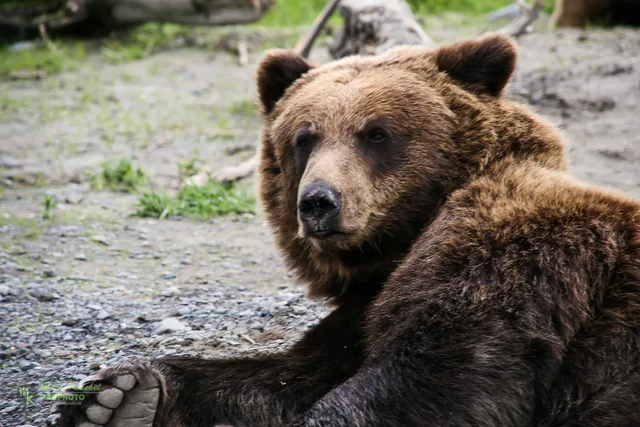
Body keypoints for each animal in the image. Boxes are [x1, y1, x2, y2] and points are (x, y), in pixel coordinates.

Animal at [52, 33, 640, 427]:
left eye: (376, 133)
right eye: (304, 137)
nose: (317, 202)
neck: (398, 244)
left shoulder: (515, 251)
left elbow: (436, 375)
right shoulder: (358, 312)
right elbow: (285, 375)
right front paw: (119, 394)